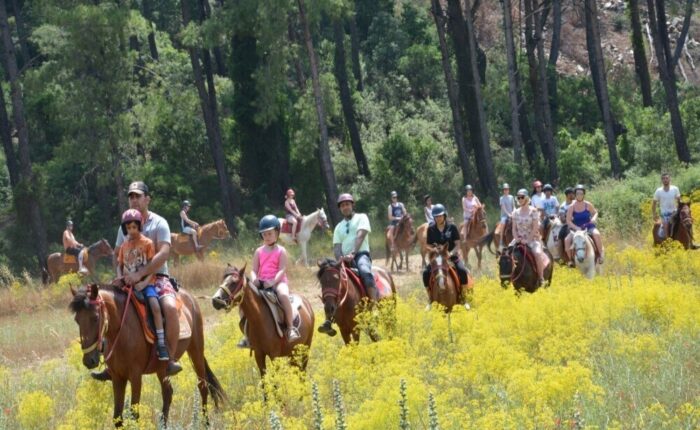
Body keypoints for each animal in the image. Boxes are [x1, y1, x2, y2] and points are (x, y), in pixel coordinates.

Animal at [68, 282, 224, 426]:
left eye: (95, 317)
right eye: (77, 320)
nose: (89, 360)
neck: (123, 332)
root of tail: (190, 297)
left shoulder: (136, 376)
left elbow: (134, 414)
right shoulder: (117, 377)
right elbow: (117, 417)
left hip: (196, 350)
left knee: (203, 387)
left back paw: (206, 423)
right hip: (162, 368)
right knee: (168, 393)